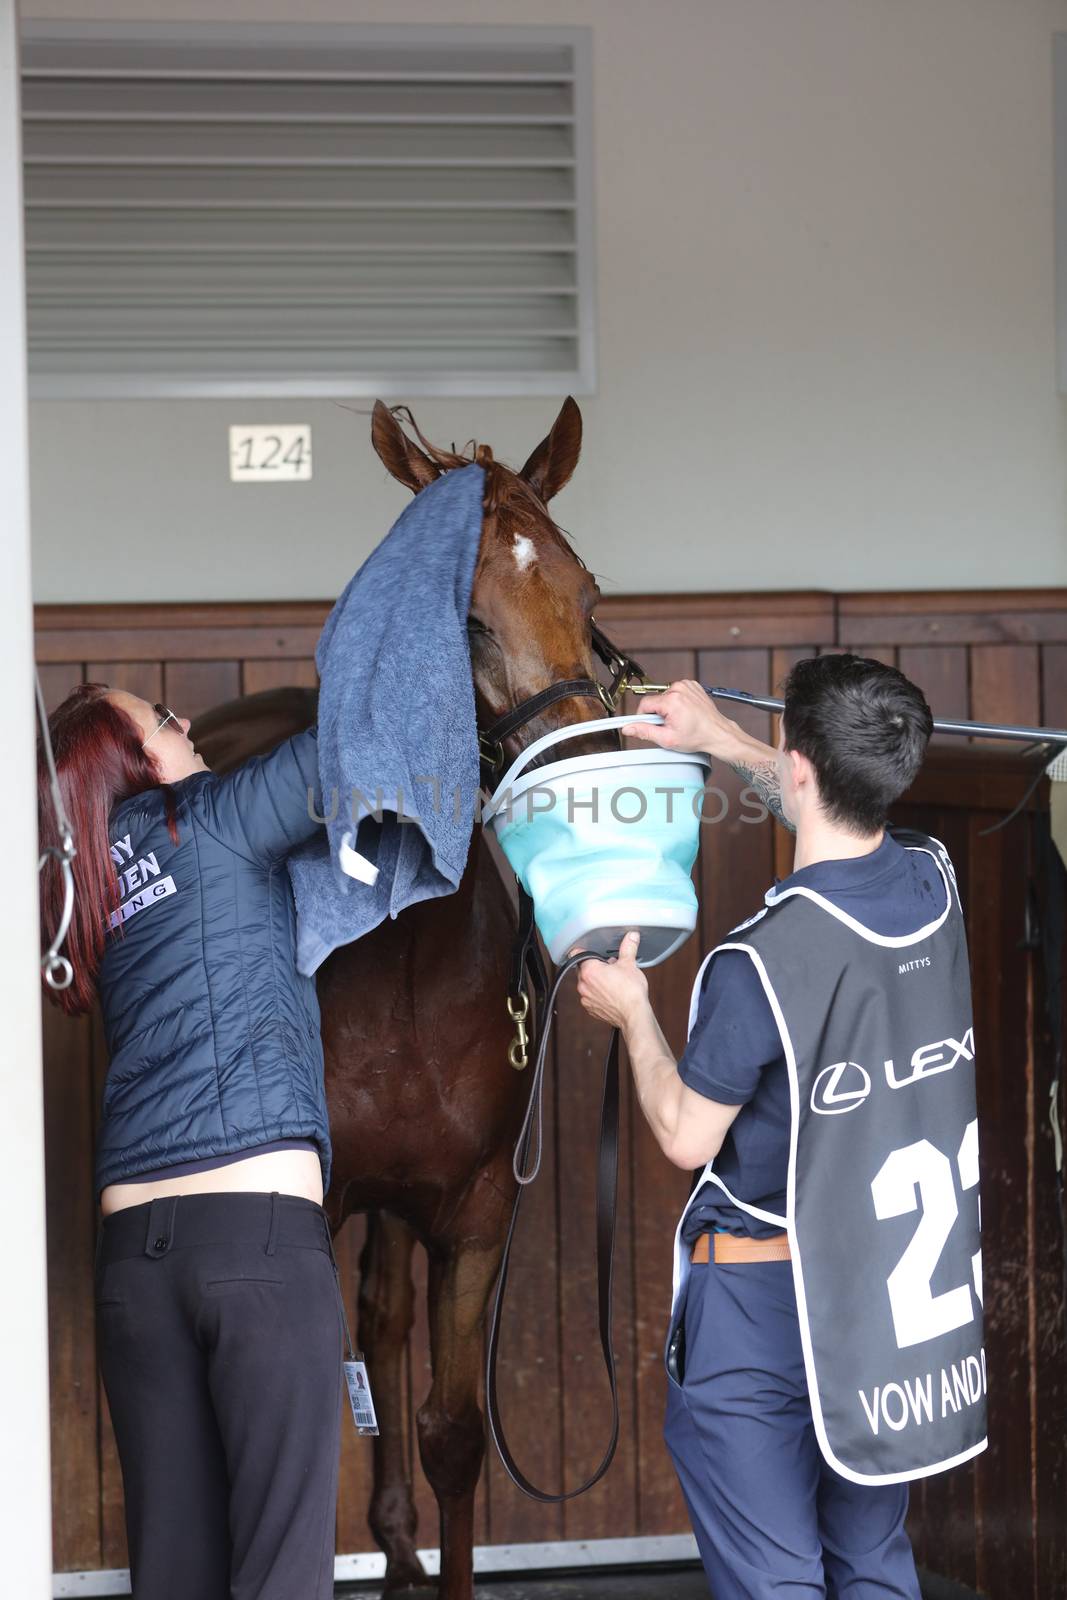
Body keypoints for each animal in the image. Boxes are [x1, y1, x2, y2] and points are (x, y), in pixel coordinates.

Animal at [187, 400, 614, 1600]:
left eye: (588, 600)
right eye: (460, 620)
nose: (591, 773)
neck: (406, 965)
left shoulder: (473, 1209)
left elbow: (451, 1430)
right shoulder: (304, 1205)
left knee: (381, 1323)